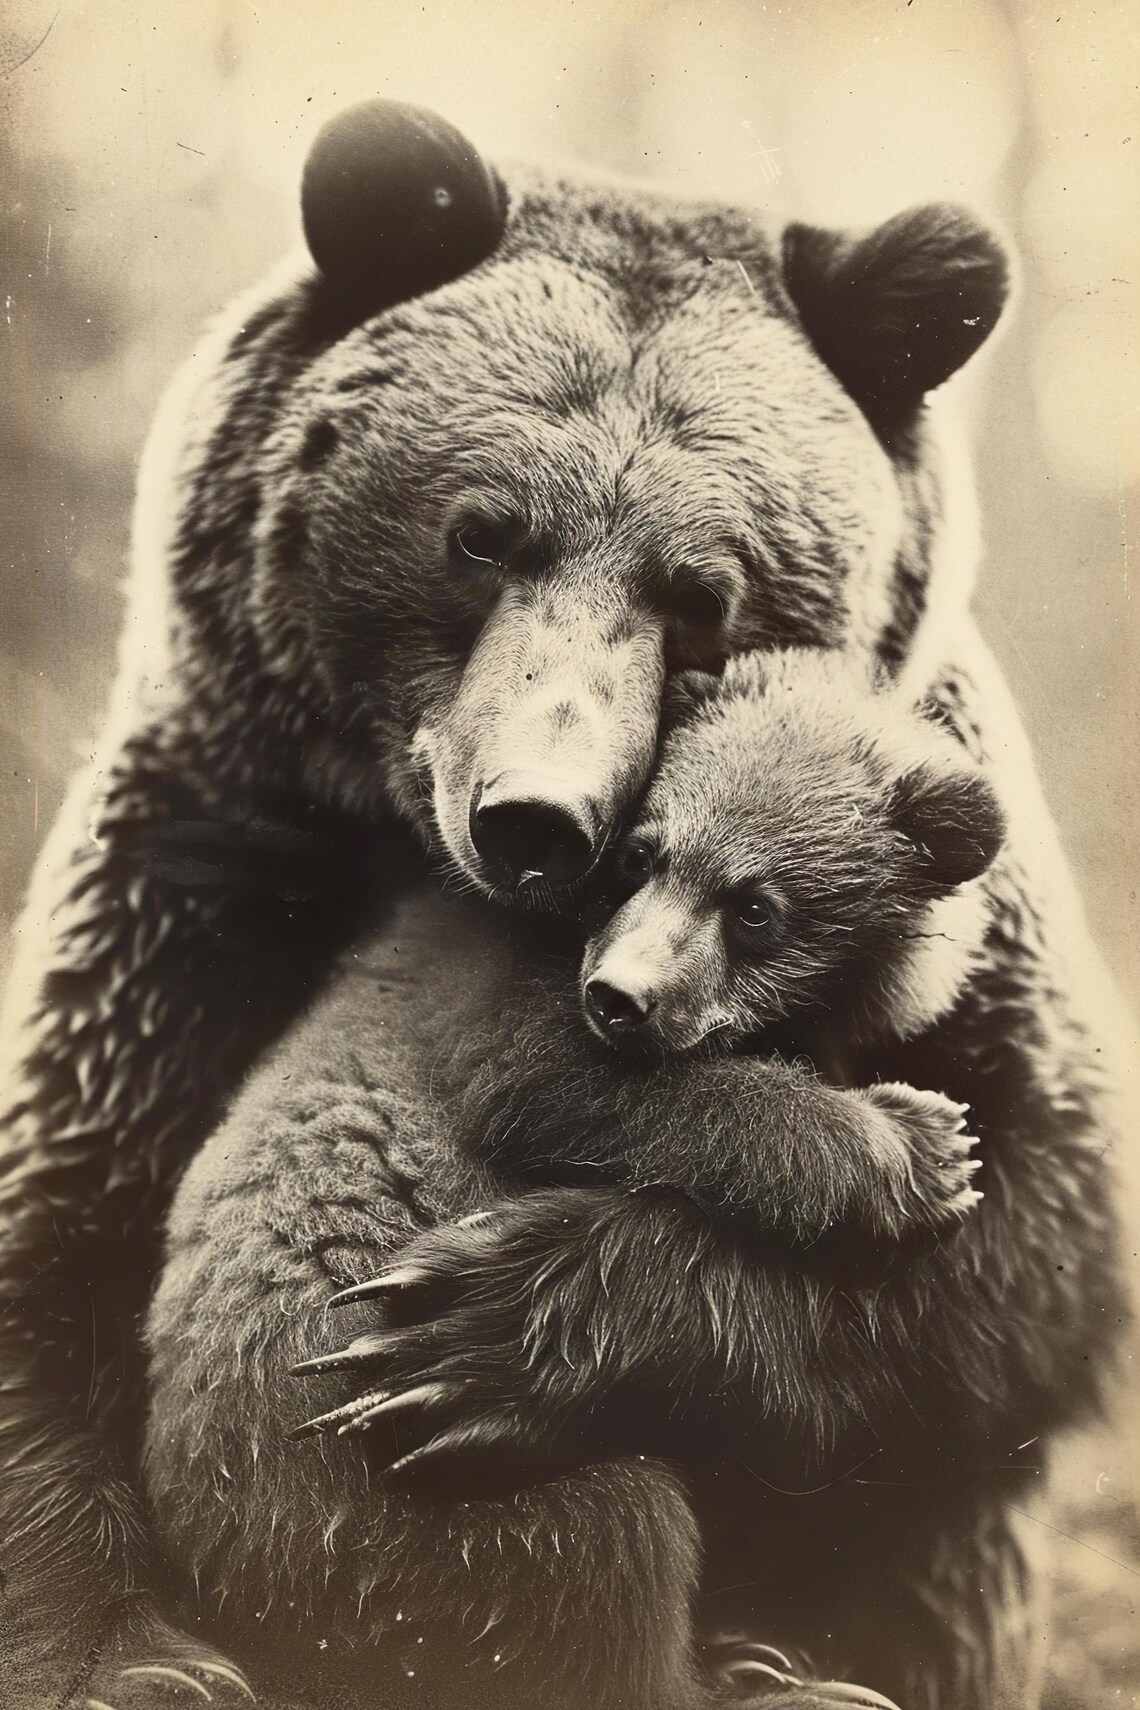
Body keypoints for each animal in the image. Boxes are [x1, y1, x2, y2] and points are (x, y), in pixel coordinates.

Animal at [0, 93, 1118, 1710]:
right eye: (482, 532)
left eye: (704, 589)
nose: (537, 816)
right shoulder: (206, 858)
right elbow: (66, 1221)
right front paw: (139, 1660)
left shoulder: (986, 939)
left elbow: (1034, 1253)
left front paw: (494, 1332)